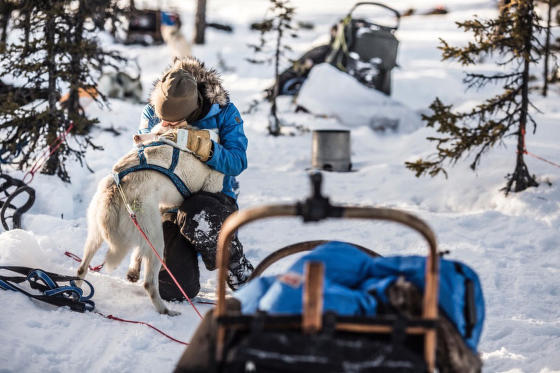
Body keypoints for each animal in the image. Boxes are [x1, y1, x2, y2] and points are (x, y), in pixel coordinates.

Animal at [76, 123, 223, 316]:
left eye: (159, 132)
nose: (136, 137)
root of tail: (117, 188)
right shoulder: (211, 184)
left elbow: (138, 252)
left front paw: (133, 269)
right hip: (157, 241)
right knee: (149, 283)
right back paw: (165, 310)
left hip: (97, 235)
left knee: (81, 268)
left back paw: (75, 293)